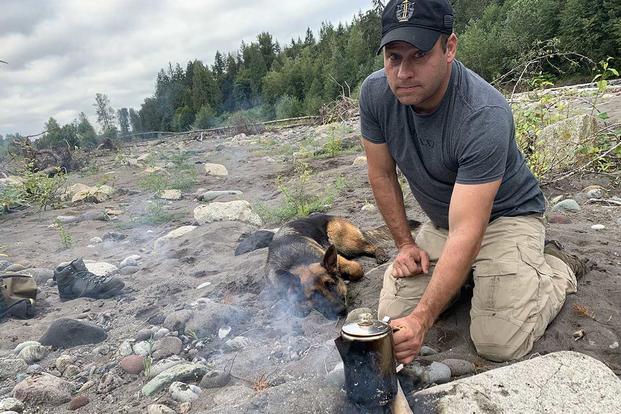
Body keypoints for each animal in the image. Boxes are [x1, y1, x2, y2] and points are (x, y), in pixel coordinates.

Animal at [264, 215, 400, 318]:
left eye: (331, 285)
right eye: (313, 295)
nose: (341, 311)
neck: (297, 261)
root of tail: (330, 215)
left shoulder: (338, 258)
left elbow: (356, 269)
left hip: (342, 241)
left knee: (371, 245)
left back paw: (380, 254)